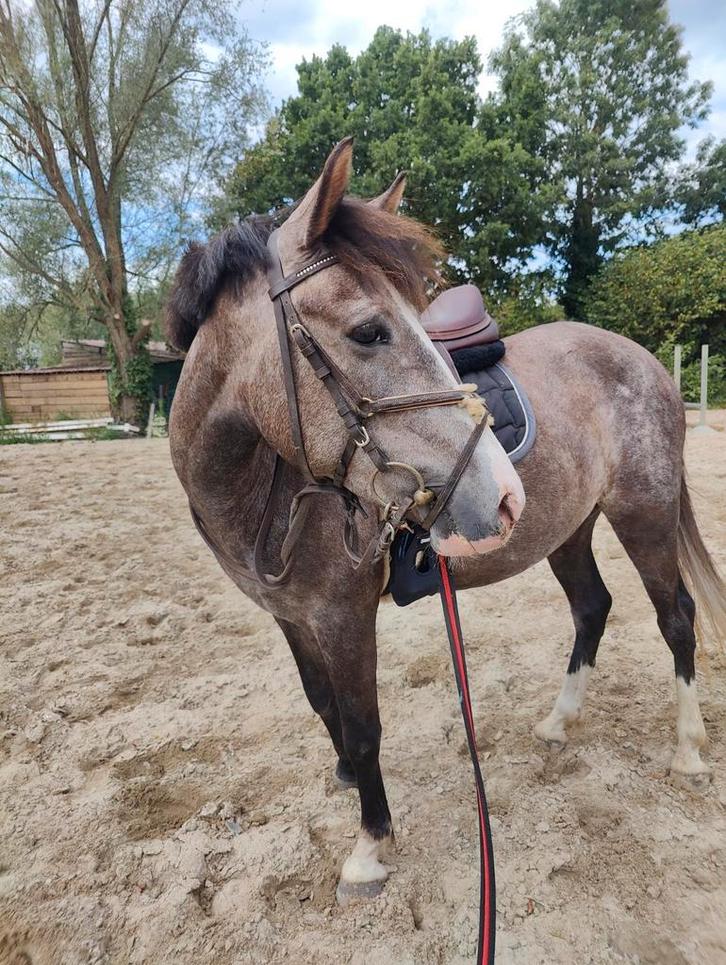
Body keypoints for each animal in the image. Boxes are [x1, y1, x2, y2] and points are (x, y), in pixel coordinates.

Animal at [165, 138, 725, 904]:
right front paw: (349, 780)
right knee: (592, 606)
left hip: (645, 511)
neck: (263, 488)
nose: (504, 495)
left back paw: (689, 750)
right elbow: (323, 706)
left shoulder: (343, 615)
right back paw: (558, 722)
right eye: (370, 331)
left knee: (676, 616)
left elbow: (363, 724)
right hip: (568, 527)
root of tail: (643, 358)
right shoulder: (290, 616)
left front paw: (370, 845)